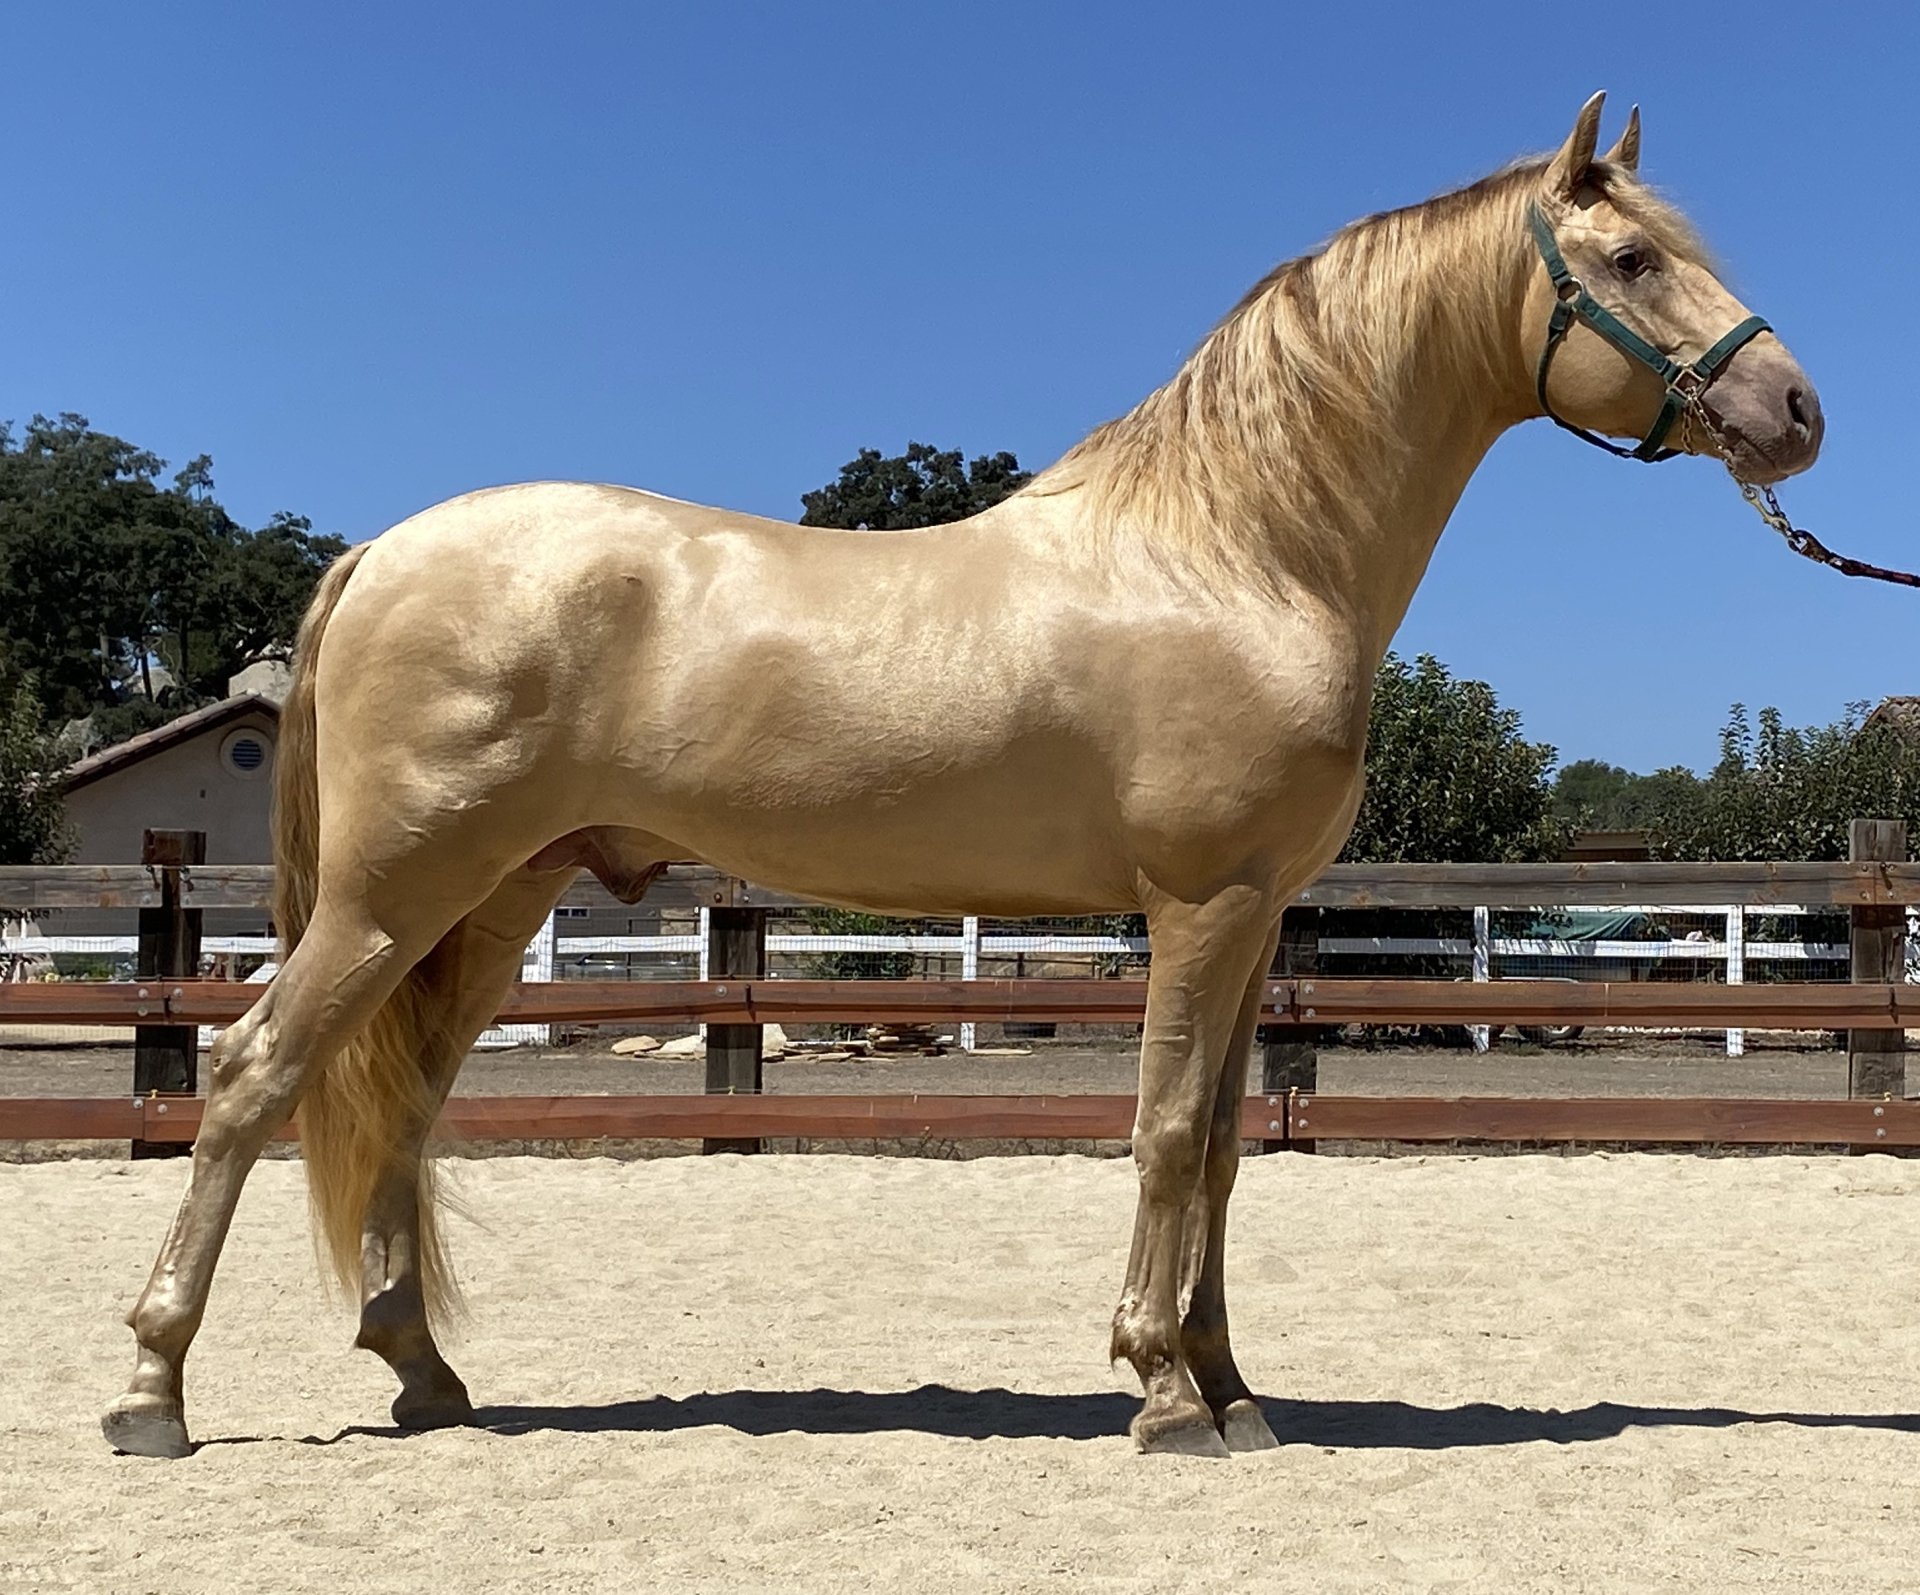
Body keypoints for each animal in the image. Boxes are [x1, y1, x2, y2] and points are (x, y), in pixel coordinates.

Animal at [103, 93, 1822, 1460]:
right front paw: (1163, 1391)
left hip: (491, 902)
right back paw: (152, 1393)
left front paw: (1232, 1386)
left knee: (398, 1107)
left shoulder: (1256, 913)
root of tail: (384, 552)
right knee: (251, 1078)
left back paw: (428, 1377)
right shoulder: (1198, 907)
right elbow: (1162, 1129)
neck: (1236, 549)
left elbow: (1217, 1148)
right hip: (396, 894)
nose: (1796, 409)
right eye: (1630, 263)